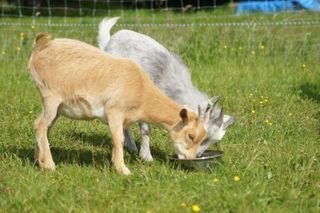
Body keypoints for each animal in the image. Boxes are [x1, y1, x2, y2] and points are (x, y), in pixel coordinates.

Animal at [28, 32, 211, 174]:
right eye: (191, 136)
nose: (192, 158)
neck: (142, 92)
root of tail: (41, 46)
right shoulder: (114, 112)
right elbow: (119, 140)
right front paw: (122, 169)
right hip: (51, 97)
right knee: (39, 125)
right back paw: (50, 165)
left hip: (57, 107)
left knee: (44, 128)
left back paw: (39, 162)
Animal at [97, 17, 235, 161]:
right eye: (202, 137)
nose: (198, 155)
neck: (167, 80)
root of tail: (110, 41)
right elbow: (146, 129)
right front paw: (147, 157)